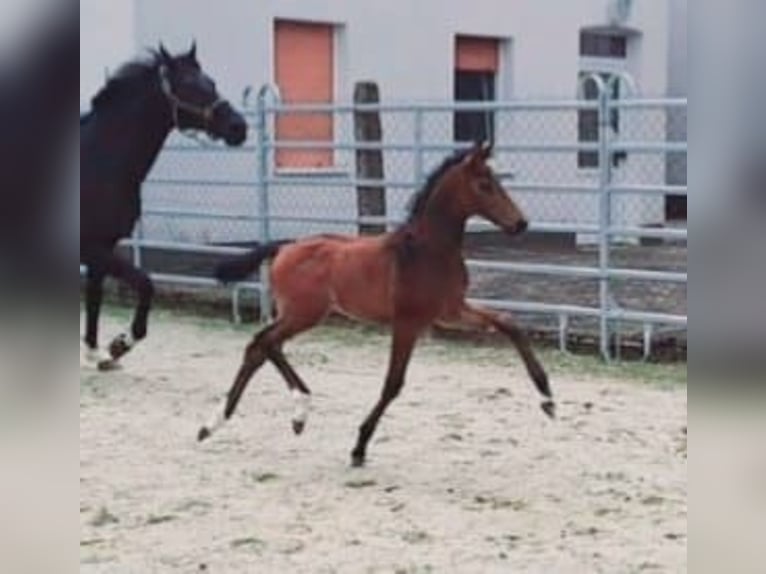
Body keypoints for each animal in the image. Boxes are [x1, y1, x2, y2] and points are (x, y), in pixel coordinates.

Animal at [79, 44, 246, 368]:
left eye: (212, 82)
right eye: (189, 86)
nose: (238, 127)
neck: (99, 162)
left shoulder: (104, 245)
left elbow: (94, 297)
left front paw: (97, 352)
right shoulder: (90, 247)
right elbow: (146, 284)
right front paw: (121, 344)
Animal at [201, 144, 556, 468]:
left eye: (496, 180)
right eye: (484, 184)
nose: (521, 223)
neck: (427, 251)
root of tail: (284, 247)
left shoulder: (450, 311)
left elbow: (509, 322)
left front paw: (547, 398)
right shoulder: (408, 322)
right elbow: (393, 383)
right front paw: (359, 447)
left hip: (301, 314)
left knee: (264, 346)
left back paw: (254, 421)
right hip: (304, 314)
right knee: (262, 343)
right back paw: (241, 419)